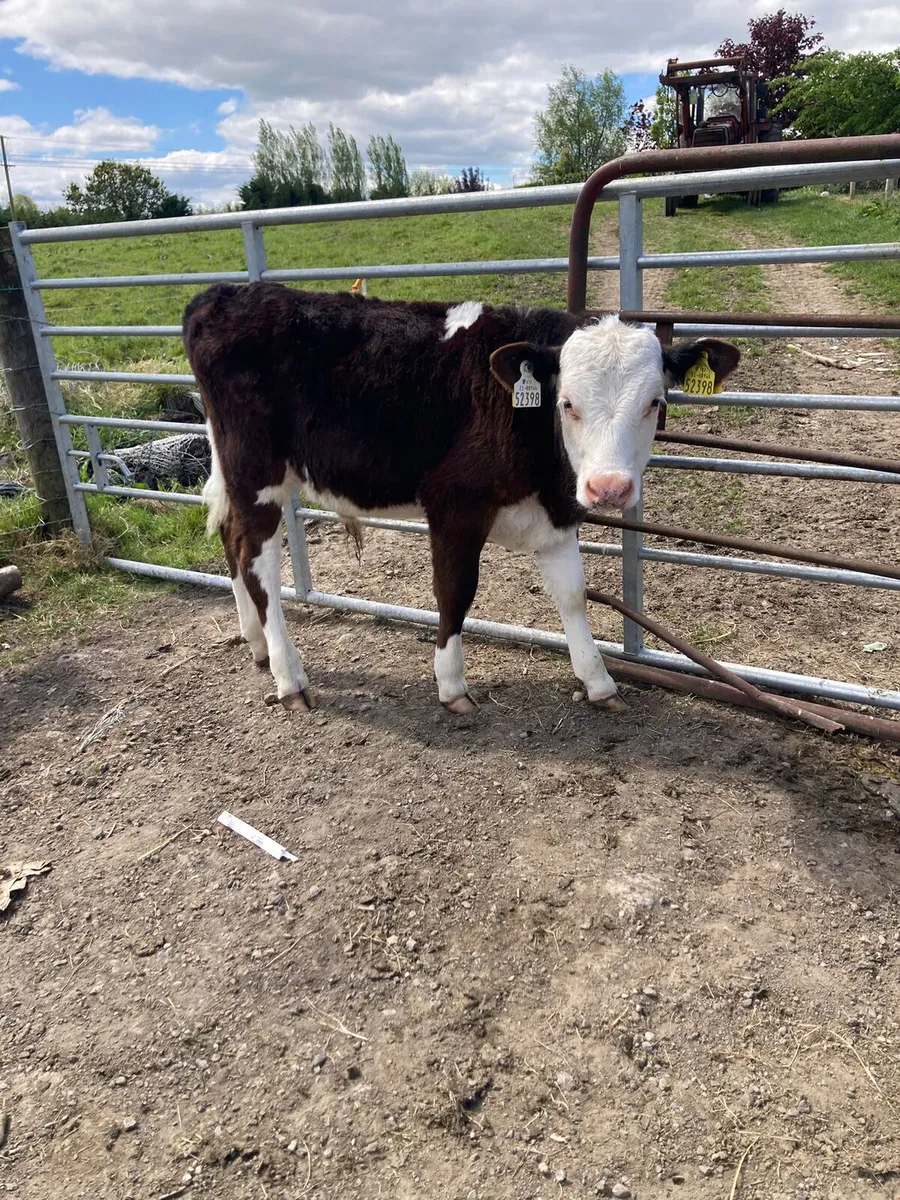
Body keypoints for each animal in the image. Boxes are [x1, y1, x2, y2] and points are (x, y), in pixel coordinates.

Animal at [183, 285, 740, 714]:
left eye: (655, 402)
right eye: (567, 403)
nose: (608, 488)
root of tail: (226, 294)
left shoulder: (556, 514)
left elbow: (572, 596)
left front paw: (599, 682)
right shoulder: (456, 505)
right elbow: (455, 590)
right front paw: (451, 686)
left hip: (235, 472)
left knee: (232, 540)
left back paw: (256, 644)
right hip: (257, 474)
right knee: (260, 565)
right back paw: (289, 676)